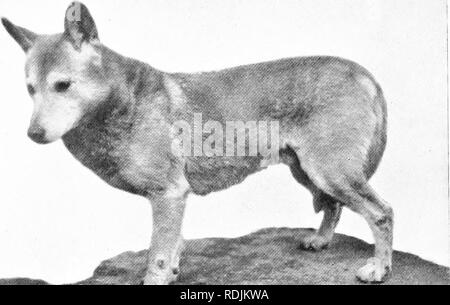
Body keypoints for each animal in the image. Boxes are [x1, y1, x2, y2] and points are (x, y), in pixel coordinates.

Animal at [1, 1, 392, 282]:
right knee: (334, 206)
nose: (33, 134)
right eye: (30, 89)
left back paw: (379, 269)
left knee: (381, 213)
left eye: (62, 85)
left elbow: (157, 255)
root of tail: (363, 74)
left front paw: (157, 277)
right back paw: (321, 240)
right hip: (309, 172)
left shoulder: (168, 195)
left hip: (329, 172)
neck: (124, 102)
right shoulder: (174, 198)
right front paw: (174, 270)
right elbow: (173, 247)